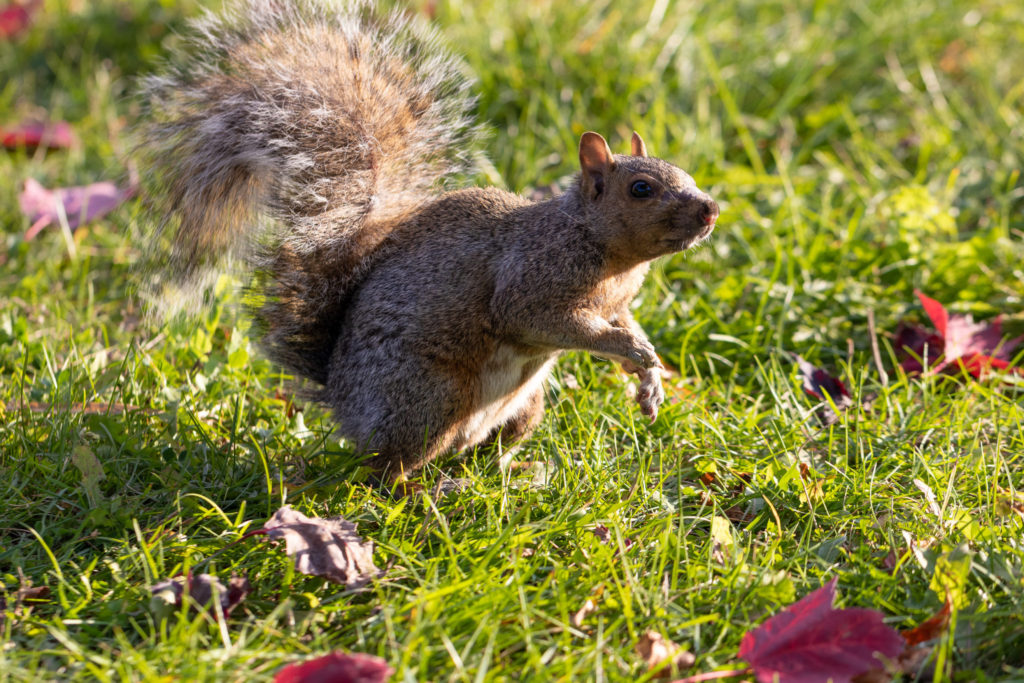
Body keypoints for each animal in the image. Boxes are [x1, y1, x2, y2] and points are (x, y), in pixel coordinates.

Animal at [136, 0, 718, 481]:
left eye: (686, 173)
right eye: (641, 189)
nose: (711, 209)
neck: (606, 252)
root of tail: (345, 407)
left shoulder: (615, 302)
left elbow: (622, 321)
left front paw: (649, 376)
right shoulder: (532, 281)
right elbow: (549, 321)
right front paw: (632, 353)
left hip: (523, 408)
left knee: (488, 448)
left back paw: (511, 472)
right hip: (429, 397)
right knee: (386, 469)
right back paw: (421, 493)